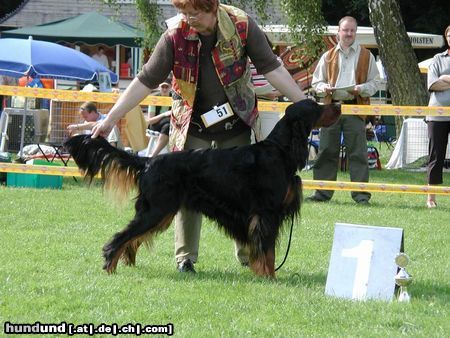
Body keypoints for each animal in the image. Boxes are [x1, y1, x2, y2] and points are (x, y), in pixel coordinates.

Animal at [64, 98, 342, 278]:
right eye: (316, 106)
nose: (339, 104)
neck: (281, 149)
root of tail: (149, 161)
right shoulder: (266, 214)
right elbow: (268, 251)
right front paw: (269, 278)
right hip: (156, 209)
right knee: (120, 238)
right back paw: (110, 266)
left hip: (160, 212)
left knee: (131, 238)